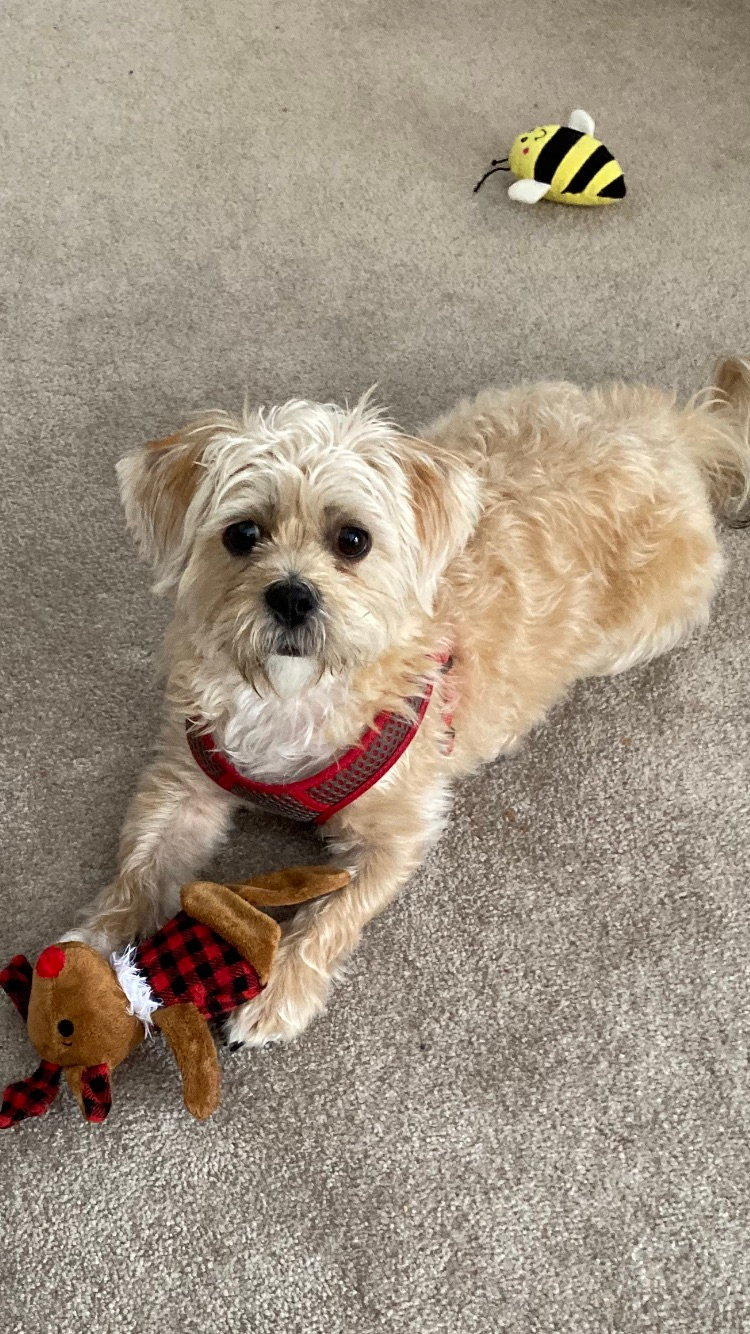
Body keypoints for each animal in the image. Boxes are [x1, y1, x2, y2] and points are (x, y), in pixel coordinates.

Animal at [73, 360, 747, 1045]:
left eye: (352, 540)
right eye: (242, 534)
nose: (291, 596)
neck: (296, 696)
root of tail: (668, 429)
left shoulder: (396, 832)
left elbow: (335, 912)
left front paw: (282, 990)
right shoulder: (184, 781)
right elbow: (139, 871)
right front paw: (90, 960)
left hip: (635, 633)